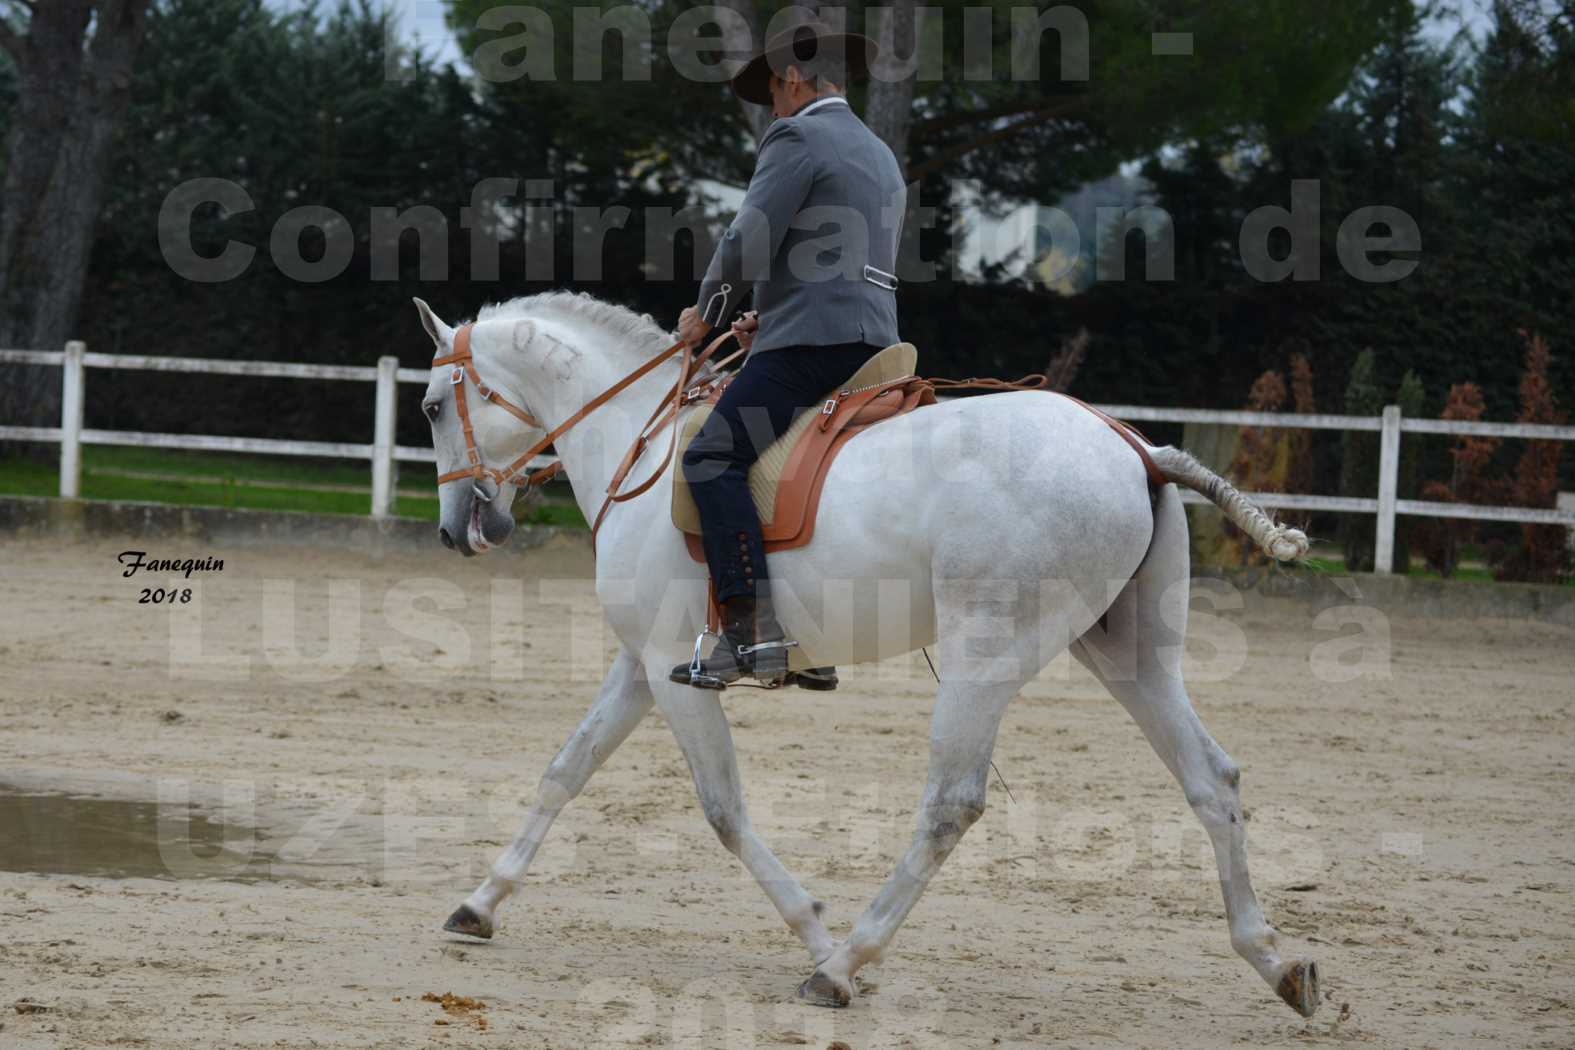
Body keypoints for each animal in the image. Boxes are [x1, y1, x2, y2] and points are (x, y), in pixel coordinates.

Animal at [412, 294, 1323, 1020]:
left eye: (428, 408)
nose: (459, 531)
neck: (640, 440)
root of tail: (1135, 449)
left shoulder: (677, 672)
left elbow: (723, 810)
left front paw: (815, 933)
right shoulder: (644, 665)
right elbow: (565, 770)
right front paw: (479, 905)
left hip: (984, 655)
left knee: (950, 805)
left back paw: (844, 964)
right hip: (1126, 652)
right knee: (1212, 780)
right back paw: (1275, 962)